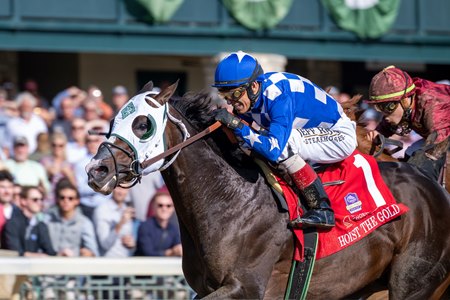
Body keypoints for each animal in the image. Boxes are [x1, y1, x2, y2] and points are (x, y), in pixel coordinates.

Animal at [85, 81, 450, 298]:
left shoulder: (245, 286)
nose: (96, 170)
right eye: (113, 120)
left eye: (142, 124)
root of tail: (429, 178)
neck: (230, 199)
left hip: (413, 283)